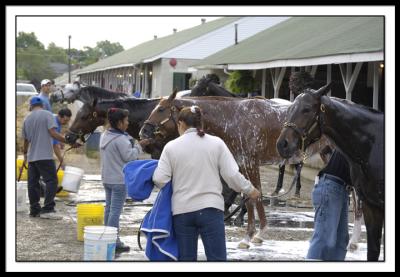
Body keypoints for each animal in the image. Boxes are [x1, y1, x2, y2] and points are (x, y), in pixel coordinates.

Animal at [139, 90, 326, 248]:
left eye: (161, 109)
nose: (143, 132)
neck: (236, 119)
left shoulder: (250, 163)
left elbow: (255, 196)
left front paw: (254, 234)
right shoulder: (241, 164)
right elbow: (249, 196)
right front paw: (253, 236)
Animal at [276, 83, 384, 260]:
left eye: (306, 109)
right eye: (290, 108)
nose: (282, 144)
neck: (374, 144)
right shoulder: (372, 206)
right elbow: (373, 250)